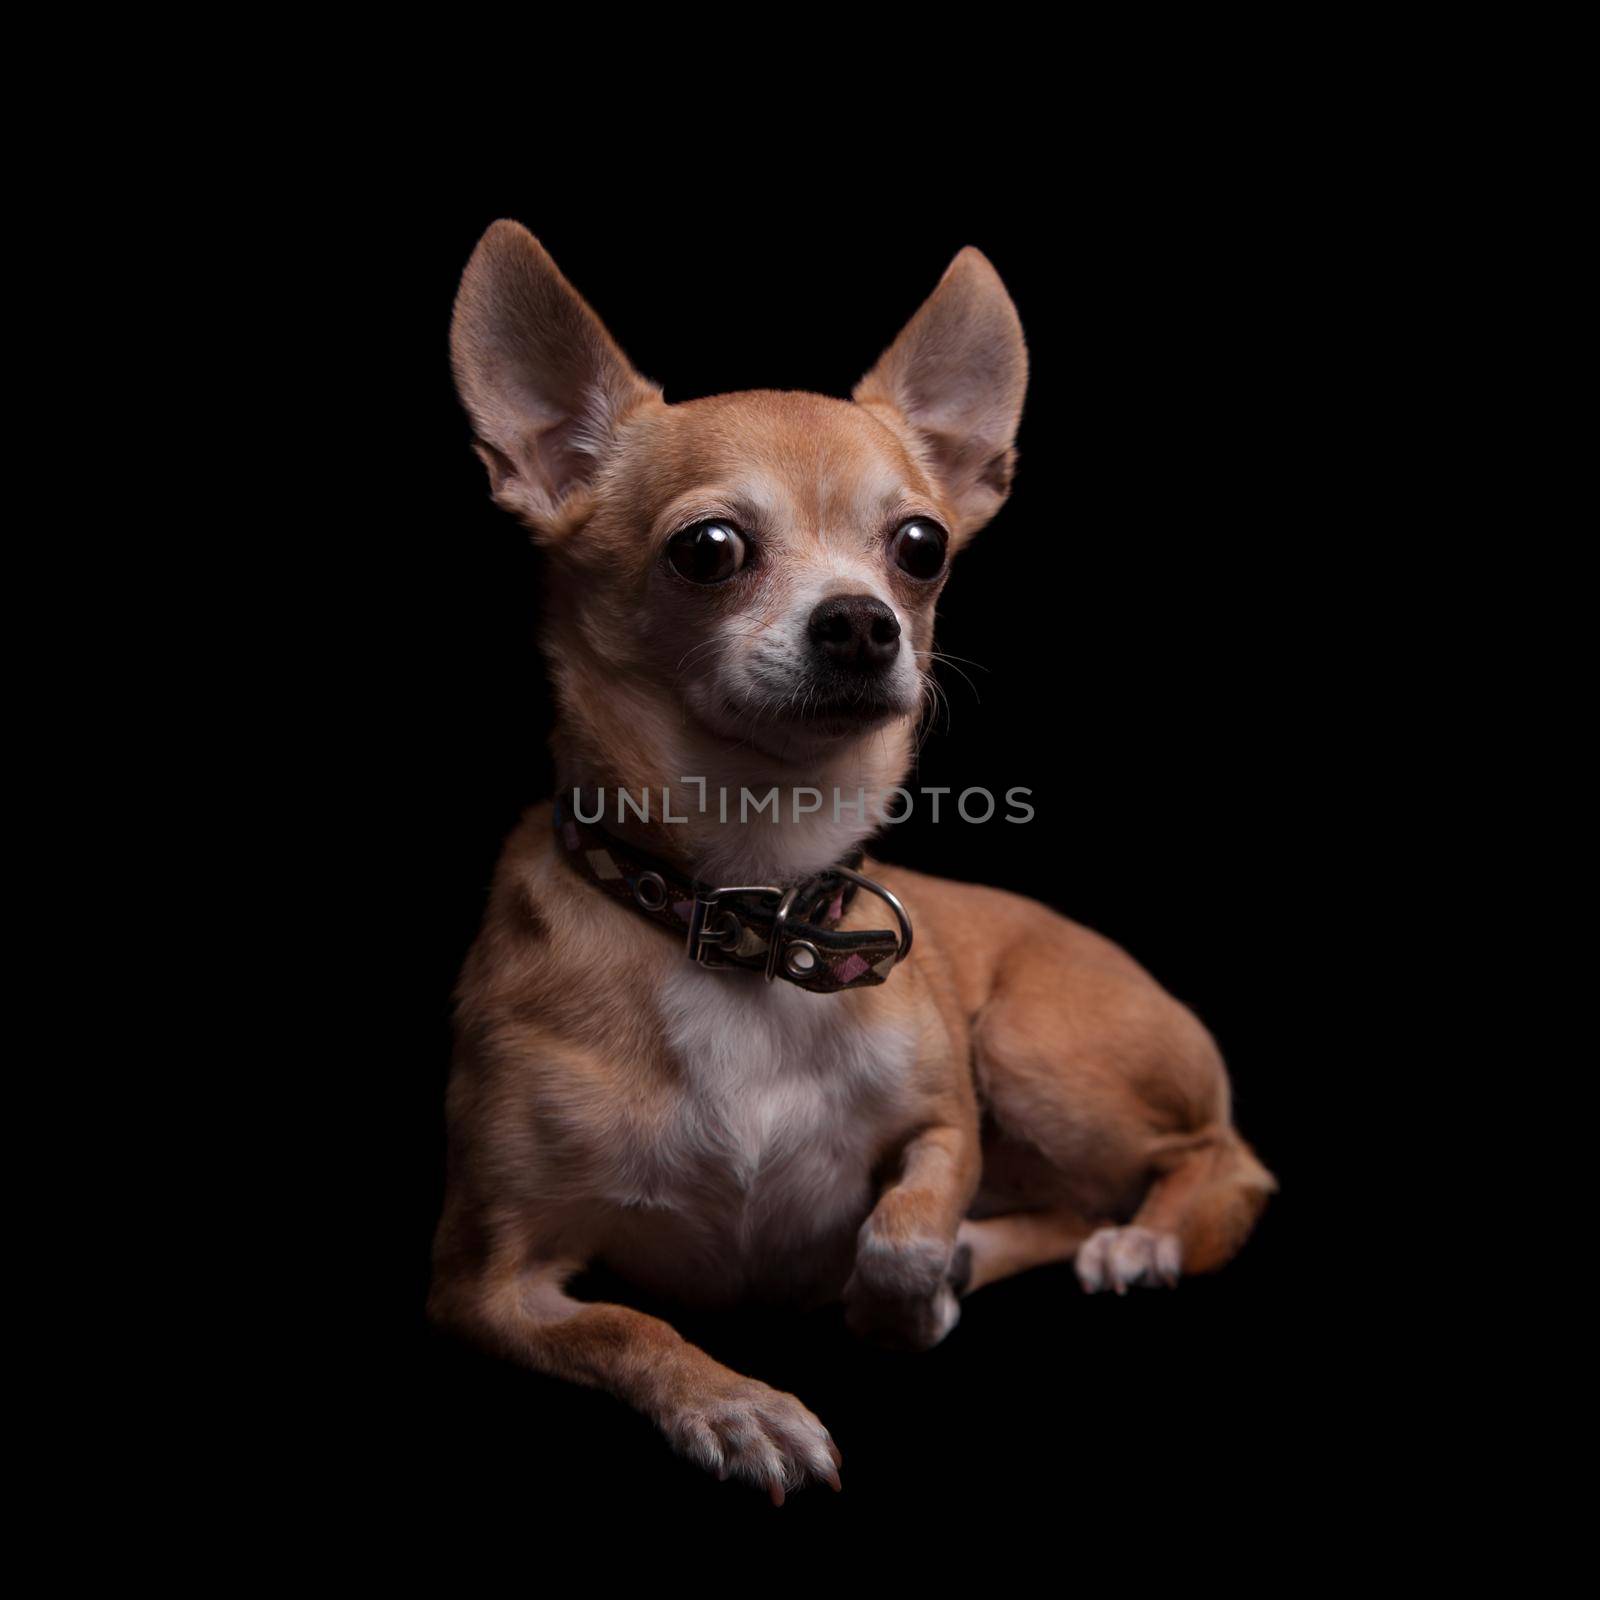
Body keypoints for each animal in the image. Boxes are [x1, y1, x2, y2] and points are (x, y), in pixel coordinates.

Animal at [428, 222, 1273, 1497]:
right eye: (708, 549)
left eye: (920, 546)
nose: (863, 620)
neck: (750, 900)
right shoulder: (482, 1279)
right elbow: (629, 1323)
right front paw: (736, 1405)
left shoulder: (947, 1120)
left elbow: (901, 1223)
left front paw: (899, 1301)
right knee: (1078, 1205)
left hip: (1031, 1043)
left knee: (1214, 1161)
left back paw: (1142, 1239)